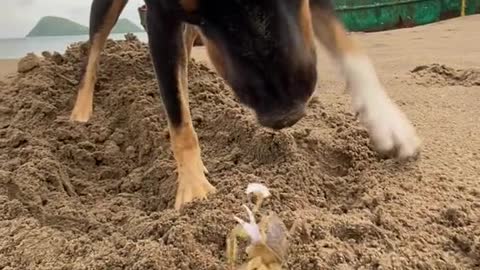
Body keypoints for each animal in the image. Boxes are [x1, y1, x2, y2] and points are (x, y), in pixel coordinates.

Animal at [69, 0, 422, 210]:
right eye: (196, 11)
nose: (284, 113)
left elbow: (346, 44)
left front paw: (387, 120)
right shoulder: (163, 14)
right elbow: (177, 116)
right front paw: (195, 190)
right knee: (94, 49)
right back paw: (80, 115)